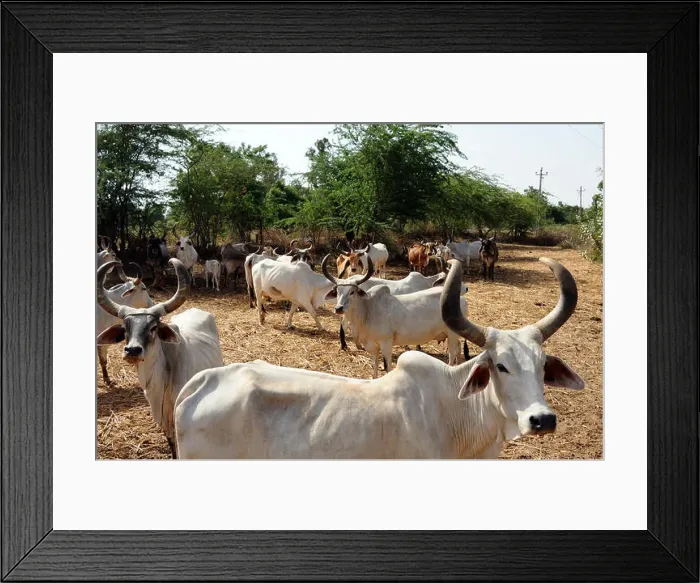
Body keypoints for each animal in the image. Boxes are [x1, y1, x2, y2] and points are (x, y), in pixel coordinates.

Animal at [96, 258, 224, 458]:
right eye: (125, 328)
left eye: (153, 327)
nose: (132, 351)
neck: (161, 380)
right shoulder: (162, 416)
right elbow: (171, 442)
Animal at [323, 255, 468, 377]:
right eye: (337, 291)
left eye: (352, 292)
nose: (339, 308)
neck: (368, 310)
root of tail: (461, 300)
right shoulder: (372, 347)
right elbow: (374, 368)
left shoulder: (386, 343)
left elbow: (387, 367)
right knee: (458, 349)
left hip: (452, 334)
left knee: (452, 353)